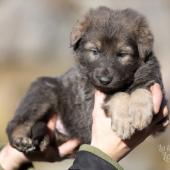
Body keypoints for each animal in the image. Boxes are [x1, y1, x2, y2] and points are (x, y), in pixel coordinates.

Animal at [6, 6, 165, 157]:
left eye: (122, 54)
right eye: (95, 51)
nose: (104, 80)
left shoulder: (156, 89)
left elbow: (142, 90)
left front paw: (140, 112)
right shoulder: (91, 102)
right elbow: (118, 95)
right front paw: (124, 122)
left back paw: (44, 140)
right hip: (43, 92)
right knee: (17, 122)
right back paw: (20, 139)